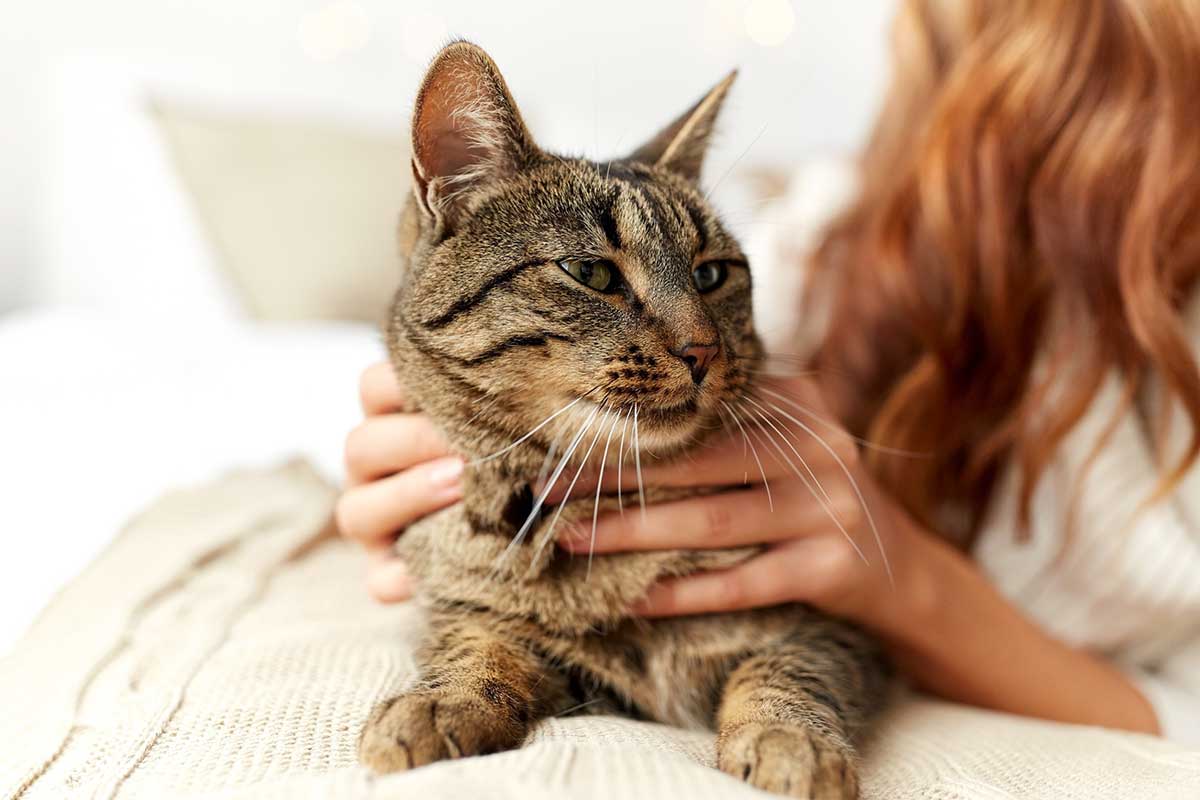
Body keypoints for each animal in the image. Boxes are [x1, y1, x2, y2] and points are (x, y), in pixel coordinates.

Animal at [355, 42, 892, 800]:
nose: (702, 350)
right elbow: (476, 647)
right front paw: (438, 705)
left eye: (712, 274)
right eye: (591, 272)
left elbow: (787, 672)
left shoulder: (838, 627)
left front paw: (792, 743)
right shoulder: (495, 623)